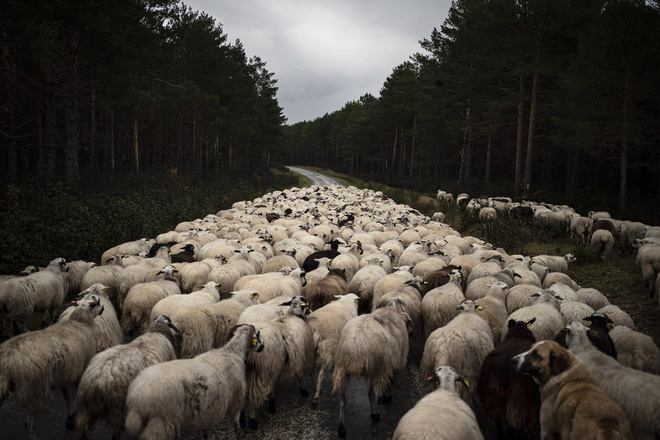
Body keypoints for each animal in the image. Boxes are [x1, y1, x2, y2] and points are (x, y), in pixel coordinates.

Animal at [0, 294, 103, 438]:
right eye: (98, 301)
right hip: (34, 388)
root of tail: (6, 360)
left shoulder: (64, 373)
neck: (81, 322)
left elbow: (67, 396)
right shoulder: (80, 369)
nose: (103, 308)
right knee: (31, 428)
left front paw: (70, 418)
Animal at [125, 322, 264, 438]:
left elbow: (207, 432)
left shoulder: (210, 412)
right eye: (257, 334)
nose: (263, 346)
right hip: (159, 425)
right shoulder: (236, 401)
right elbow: (236, 426)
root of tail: (136, 397)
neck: (232, 352)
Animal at [242, 298, 314, 428]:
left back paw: (241, 418)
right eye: (306, 303)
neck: (294, 314)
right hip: (261, 370)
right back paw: (252, 420)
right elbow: (298, 374)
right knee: (253, 396)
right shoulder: (287, 360)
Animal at [332, 300, 410, 438]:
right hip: (375, 368)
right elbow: (390, 380)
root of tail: (355, 346)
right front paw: (387, 396)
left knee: (343, 398)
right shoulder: (391, 364)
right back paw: (375, 415)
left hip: (343, 369)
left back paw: (341, 428)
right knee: (370, 393)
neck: (390, 311)